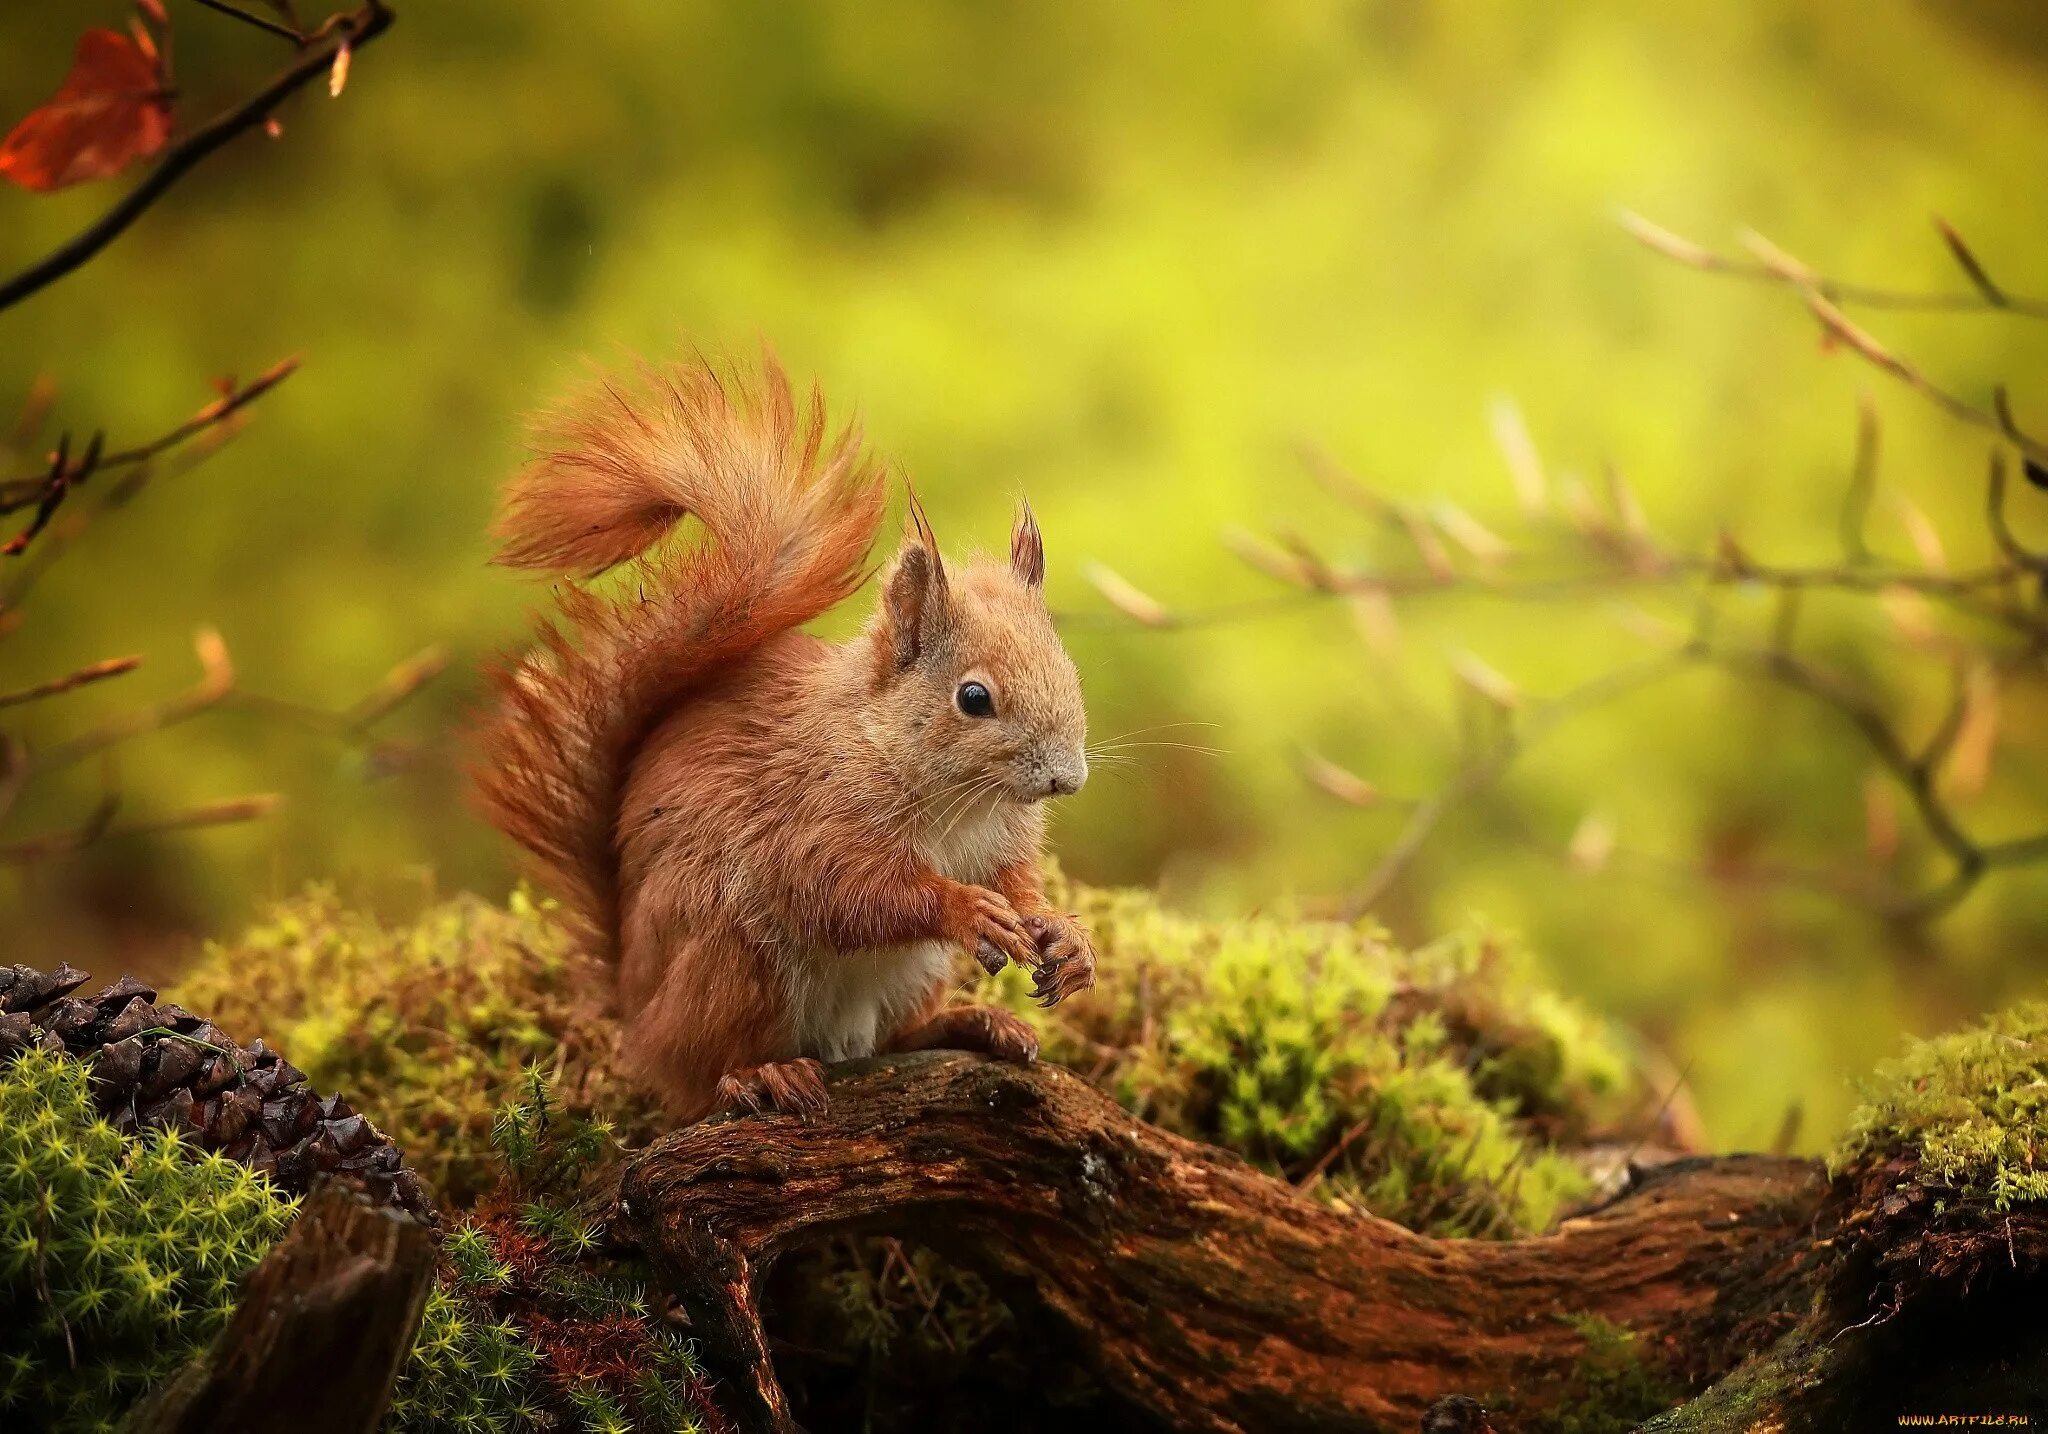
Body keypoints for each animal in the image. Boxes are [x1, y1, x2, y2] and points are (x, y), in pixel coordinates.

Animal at [471, 352, 1097, 1114]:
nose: (1068, 778)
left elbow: (1019, 881)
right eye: (973, 697)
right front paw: (965, 908)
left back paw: (975, 1023)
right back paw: (760, 1075)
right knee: (704, 1076)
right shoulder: (812, 816)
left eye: (1066, 666)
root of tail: (635, 1009)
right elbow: (847, 891)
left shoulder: (1001, 839)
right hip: (732, 958)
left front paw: (1064, 936)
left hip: (911, 976)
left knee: (894, 1037)